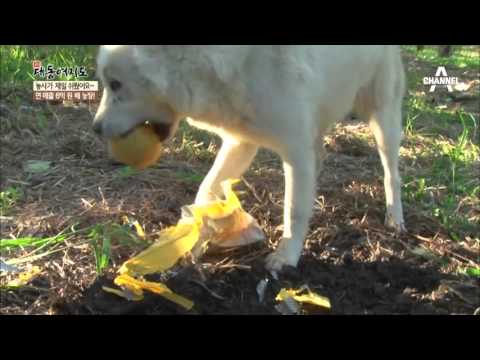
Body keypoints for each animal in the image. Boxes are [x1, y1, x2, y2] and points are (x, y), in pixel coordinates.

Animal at [93, 45, 404, 272]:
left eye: (115, 84)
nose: (95, 129)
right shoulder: (240, 144)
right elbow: (205, 190)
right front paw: (194, 236)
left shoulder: (295, 152)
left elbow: (294, 209)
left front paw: (286, 258)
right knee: (320, 155)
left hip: (383, 121)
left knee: (392, 173)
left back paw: (395, 219)